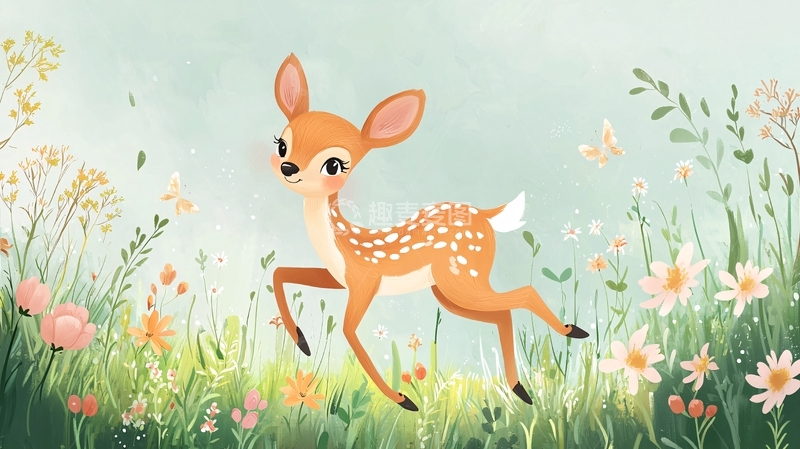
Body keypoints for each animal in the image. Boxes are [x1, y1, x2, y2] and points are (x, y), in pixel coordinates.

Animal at [269, 53, 589, 412]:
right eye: (282, 145)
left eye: (334, 165)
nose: (288, 168)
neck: (340, 243)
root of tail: (486, 215)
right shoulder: (340, 279)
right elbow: (281, 272)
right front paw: (302, 341)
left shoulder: (365, 281)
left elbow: (349, 332)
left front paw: (403, 399)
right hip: (448, 290)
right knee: (503, 313)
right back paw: (520, 386)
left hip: (461, 278)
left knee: (523, 293)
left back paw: (571, 331)